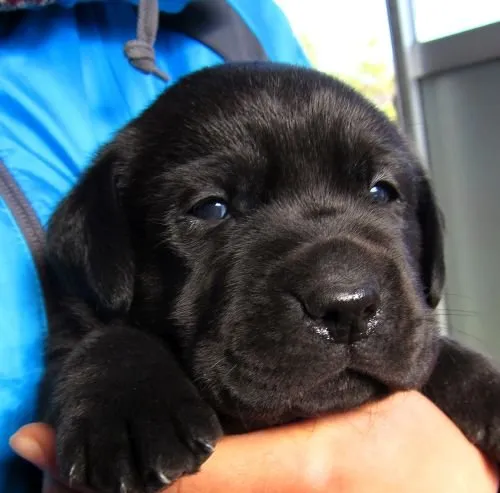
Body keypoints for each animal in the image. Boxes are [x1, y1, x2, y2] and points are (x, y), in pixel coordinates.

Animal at [42, 63, 500, 492]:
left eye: (381, 192)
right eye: (211, 207)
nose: (347, 305)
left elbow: (434, 348)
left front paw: (484, 384)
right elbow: (105, 333)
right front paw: (129, 405)